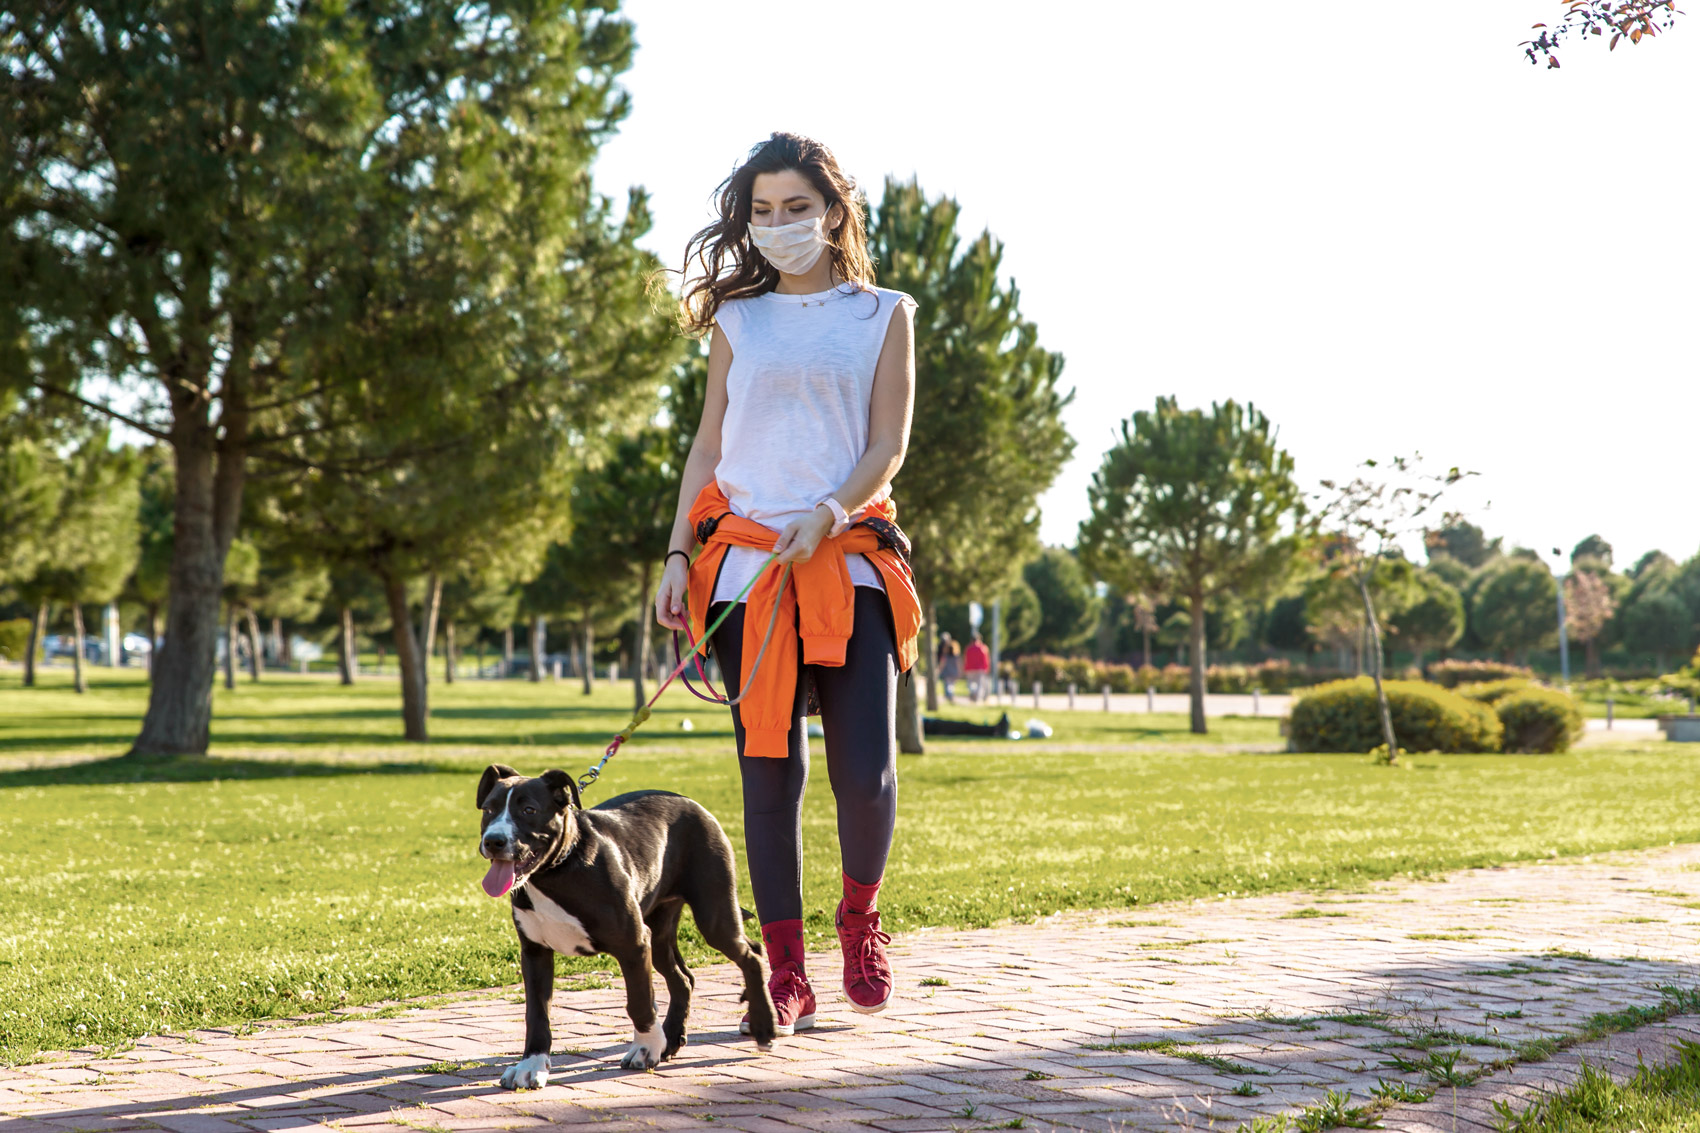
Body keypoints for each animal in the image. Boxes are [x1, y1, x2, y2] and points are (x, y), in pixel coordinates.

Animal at [472, 758, 778, 1088]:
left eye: (529, 810)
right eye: (488, 810)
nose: (493, 841)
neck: (556, 871)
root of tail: (691, 802)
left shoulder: (633, 942)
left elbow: (640, 1002)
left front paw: (645, 1048)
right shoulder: (535, 952)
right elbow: (537, 1014)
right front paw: (532, 1064)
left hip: (713, 916)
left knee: (752, 954)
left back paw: (764, 1026)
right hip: (659, 932)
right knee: (683, 979)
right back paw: (672, 1039)